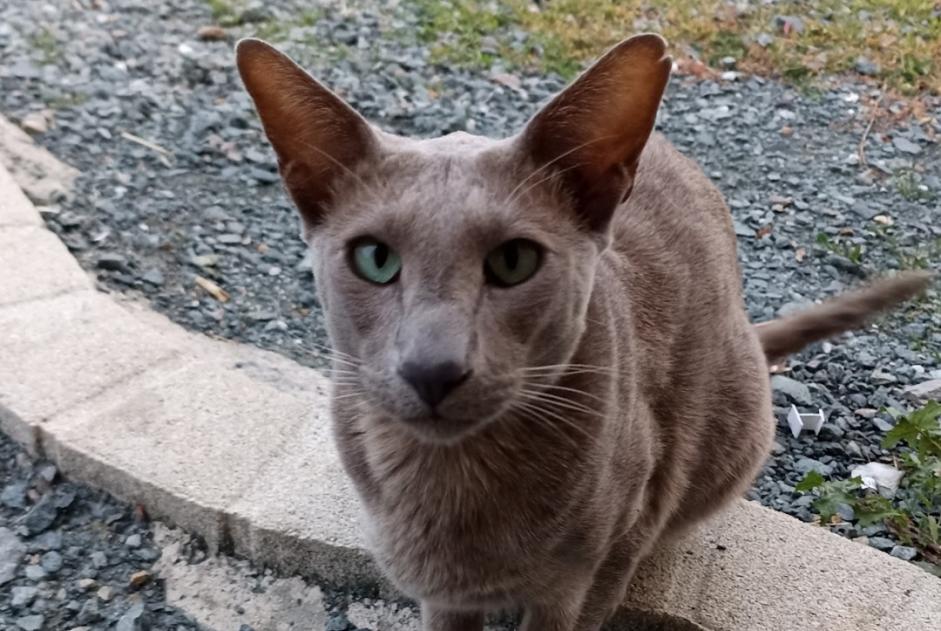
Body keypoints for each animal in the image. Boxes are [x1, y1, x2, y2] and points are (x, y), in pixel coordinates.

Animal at [235, 35, 932, 631]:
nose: (432, 367)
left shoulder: (605, 556)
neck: (453, 487)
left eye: (514, 261)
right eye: (375, 259)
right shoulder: (441, 593)